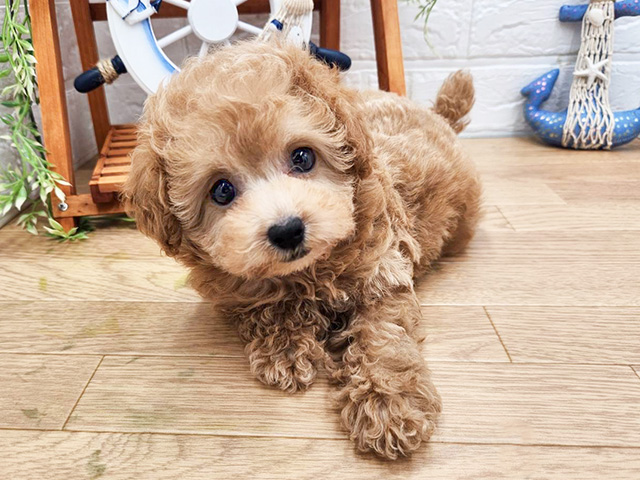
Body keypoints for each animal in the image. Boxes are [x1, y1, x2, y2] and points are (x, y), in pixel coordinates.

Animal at [121, 40, 480, 458]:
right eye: (222, 191)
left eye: (303, 157)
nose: (288, 230)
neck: (310, 271)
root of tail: (438, 116)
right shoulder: (236, 288)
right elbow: (268, 304)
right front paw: (285, 348)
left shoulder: (382, 268)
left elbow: (383, 334)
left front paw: (387, 404)